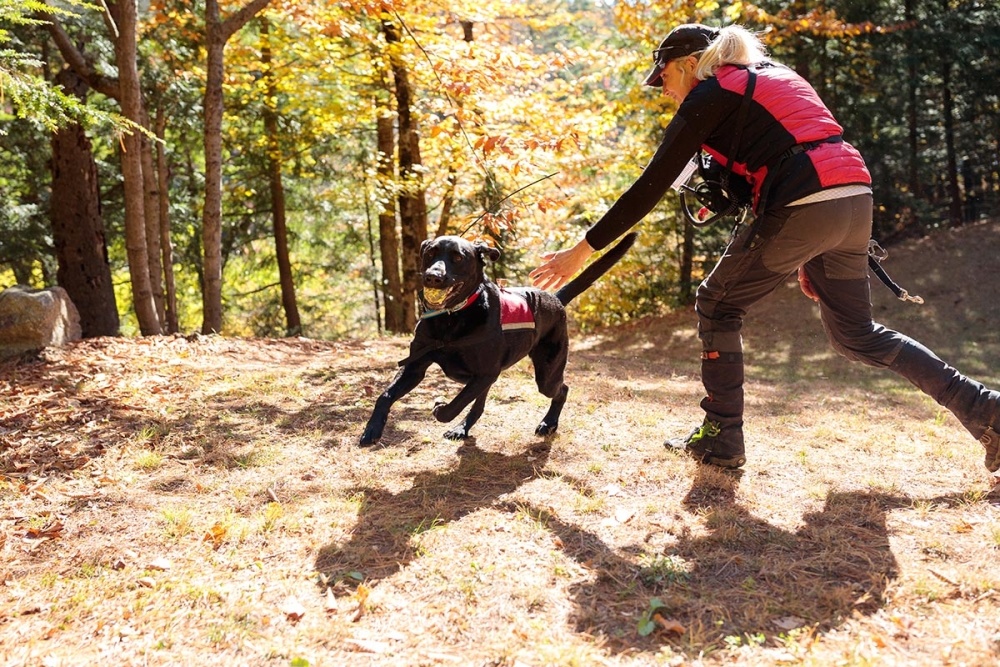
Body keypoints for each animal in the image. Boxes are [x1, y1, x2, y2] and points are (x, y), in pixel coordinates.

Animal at [360, 232, 636, 446]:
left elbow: (453, 406)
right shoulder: (416, 365)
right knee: (479, 404)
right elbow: (385, 395)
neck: (452, 317)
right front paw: (371, 430)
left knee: (562, 389)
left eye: (458, 257)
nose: (433, 277)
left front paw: (440, 407)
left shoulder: (485, 373)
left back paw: (548, 423)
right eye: (430, 253)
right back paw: (462, 429)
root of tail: (555, 299)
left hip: (546, 374)